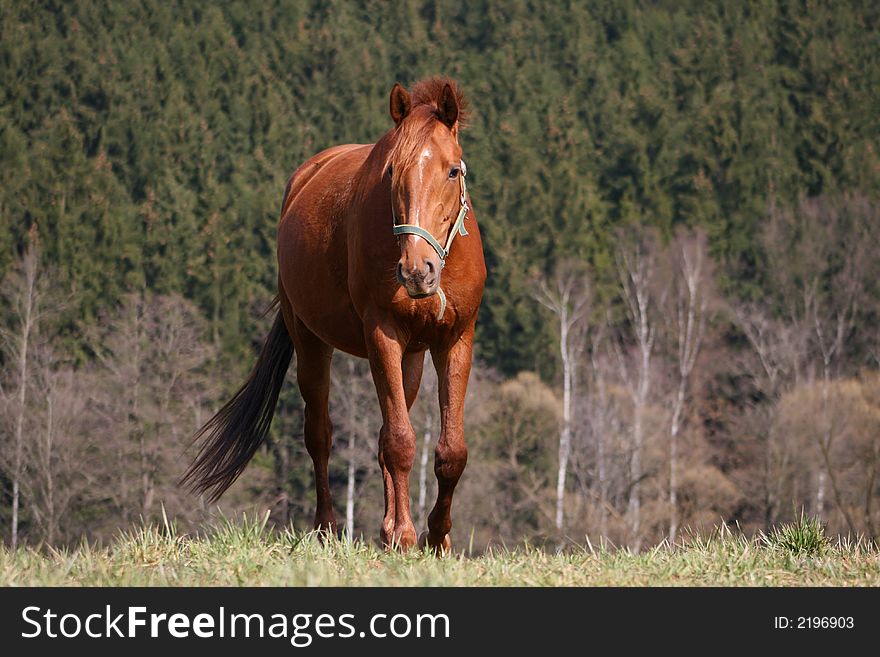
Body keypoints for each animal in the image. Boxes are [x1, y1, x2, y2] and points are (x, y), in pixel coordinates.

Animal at [178, 74, 482, 552]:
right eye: (392, 171)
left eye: (453, 170)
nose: (417, 270)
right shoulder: (382, 336)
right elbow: (400, 442)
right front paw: (405, 535)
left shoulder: (455, 341)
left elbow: (449, 450)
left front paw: (436, 537)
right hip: (311, 343)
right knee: (320, 435)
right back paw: (328, 528)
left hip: (411, 358)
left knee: (382, 433)